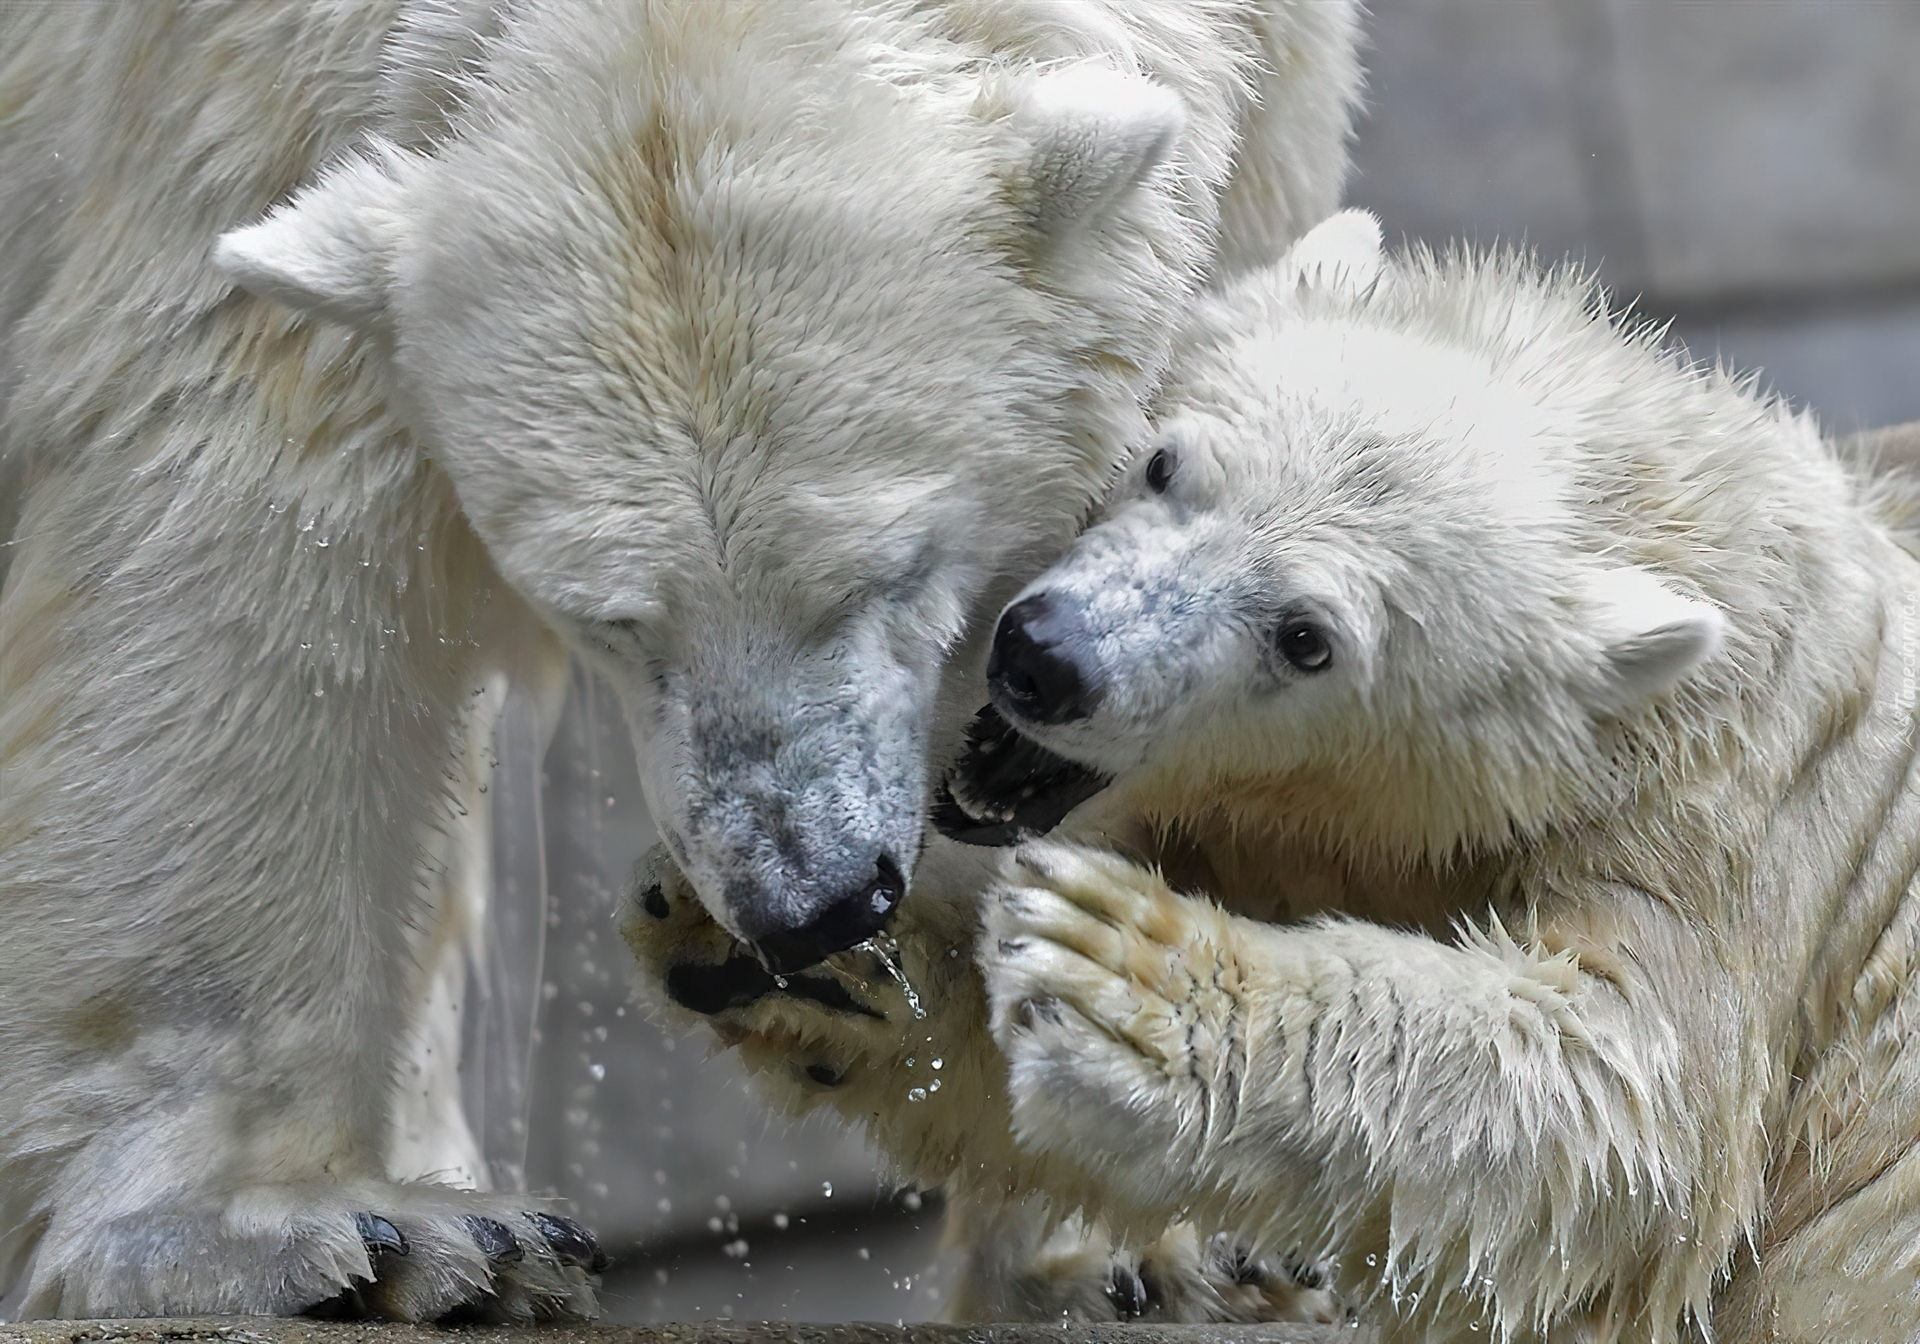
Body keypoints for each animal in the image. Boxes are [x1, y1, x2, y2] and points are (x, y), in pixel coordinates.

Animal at [0, 0, 1367, 1320]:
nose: (810, 904)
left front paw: (1150, 1230)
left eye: (891, 572)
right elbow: (243, 506)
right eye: (611, 619)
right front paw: (303, 1226)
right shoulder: (243, 88)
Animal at [967, 212, 1920, 1344]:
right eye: (1162, 462)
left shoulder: (1722, 812)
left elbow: (1619, 1103)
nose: (1048, 657)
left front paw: (1106, 969)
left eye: (1306, 638)